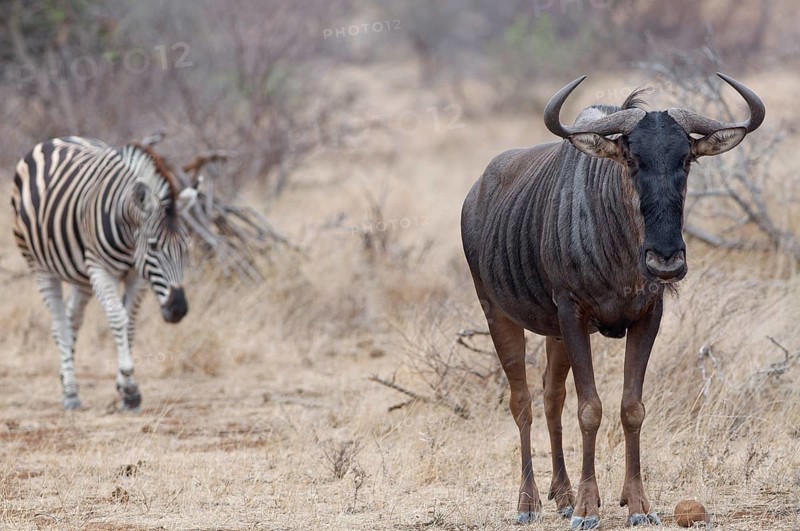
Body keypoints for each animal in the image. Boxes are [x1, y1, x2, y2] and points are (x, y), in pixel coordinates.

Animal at [11, 136, 198, 411]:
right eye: (153, 246)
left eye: (185, 248)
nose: (178, 310)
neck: (129, 234)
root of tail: (54, 140)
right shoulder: (100, 268)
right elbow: (118, 318)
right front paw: (131, 389)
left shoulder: (137, 275)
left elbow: (130, 324)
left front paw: (124, 389)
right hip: (39, 265)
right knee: (59, 324)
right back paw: (71, 393)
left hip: (81, 276)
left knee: (72, 319)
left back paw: (66, 379)